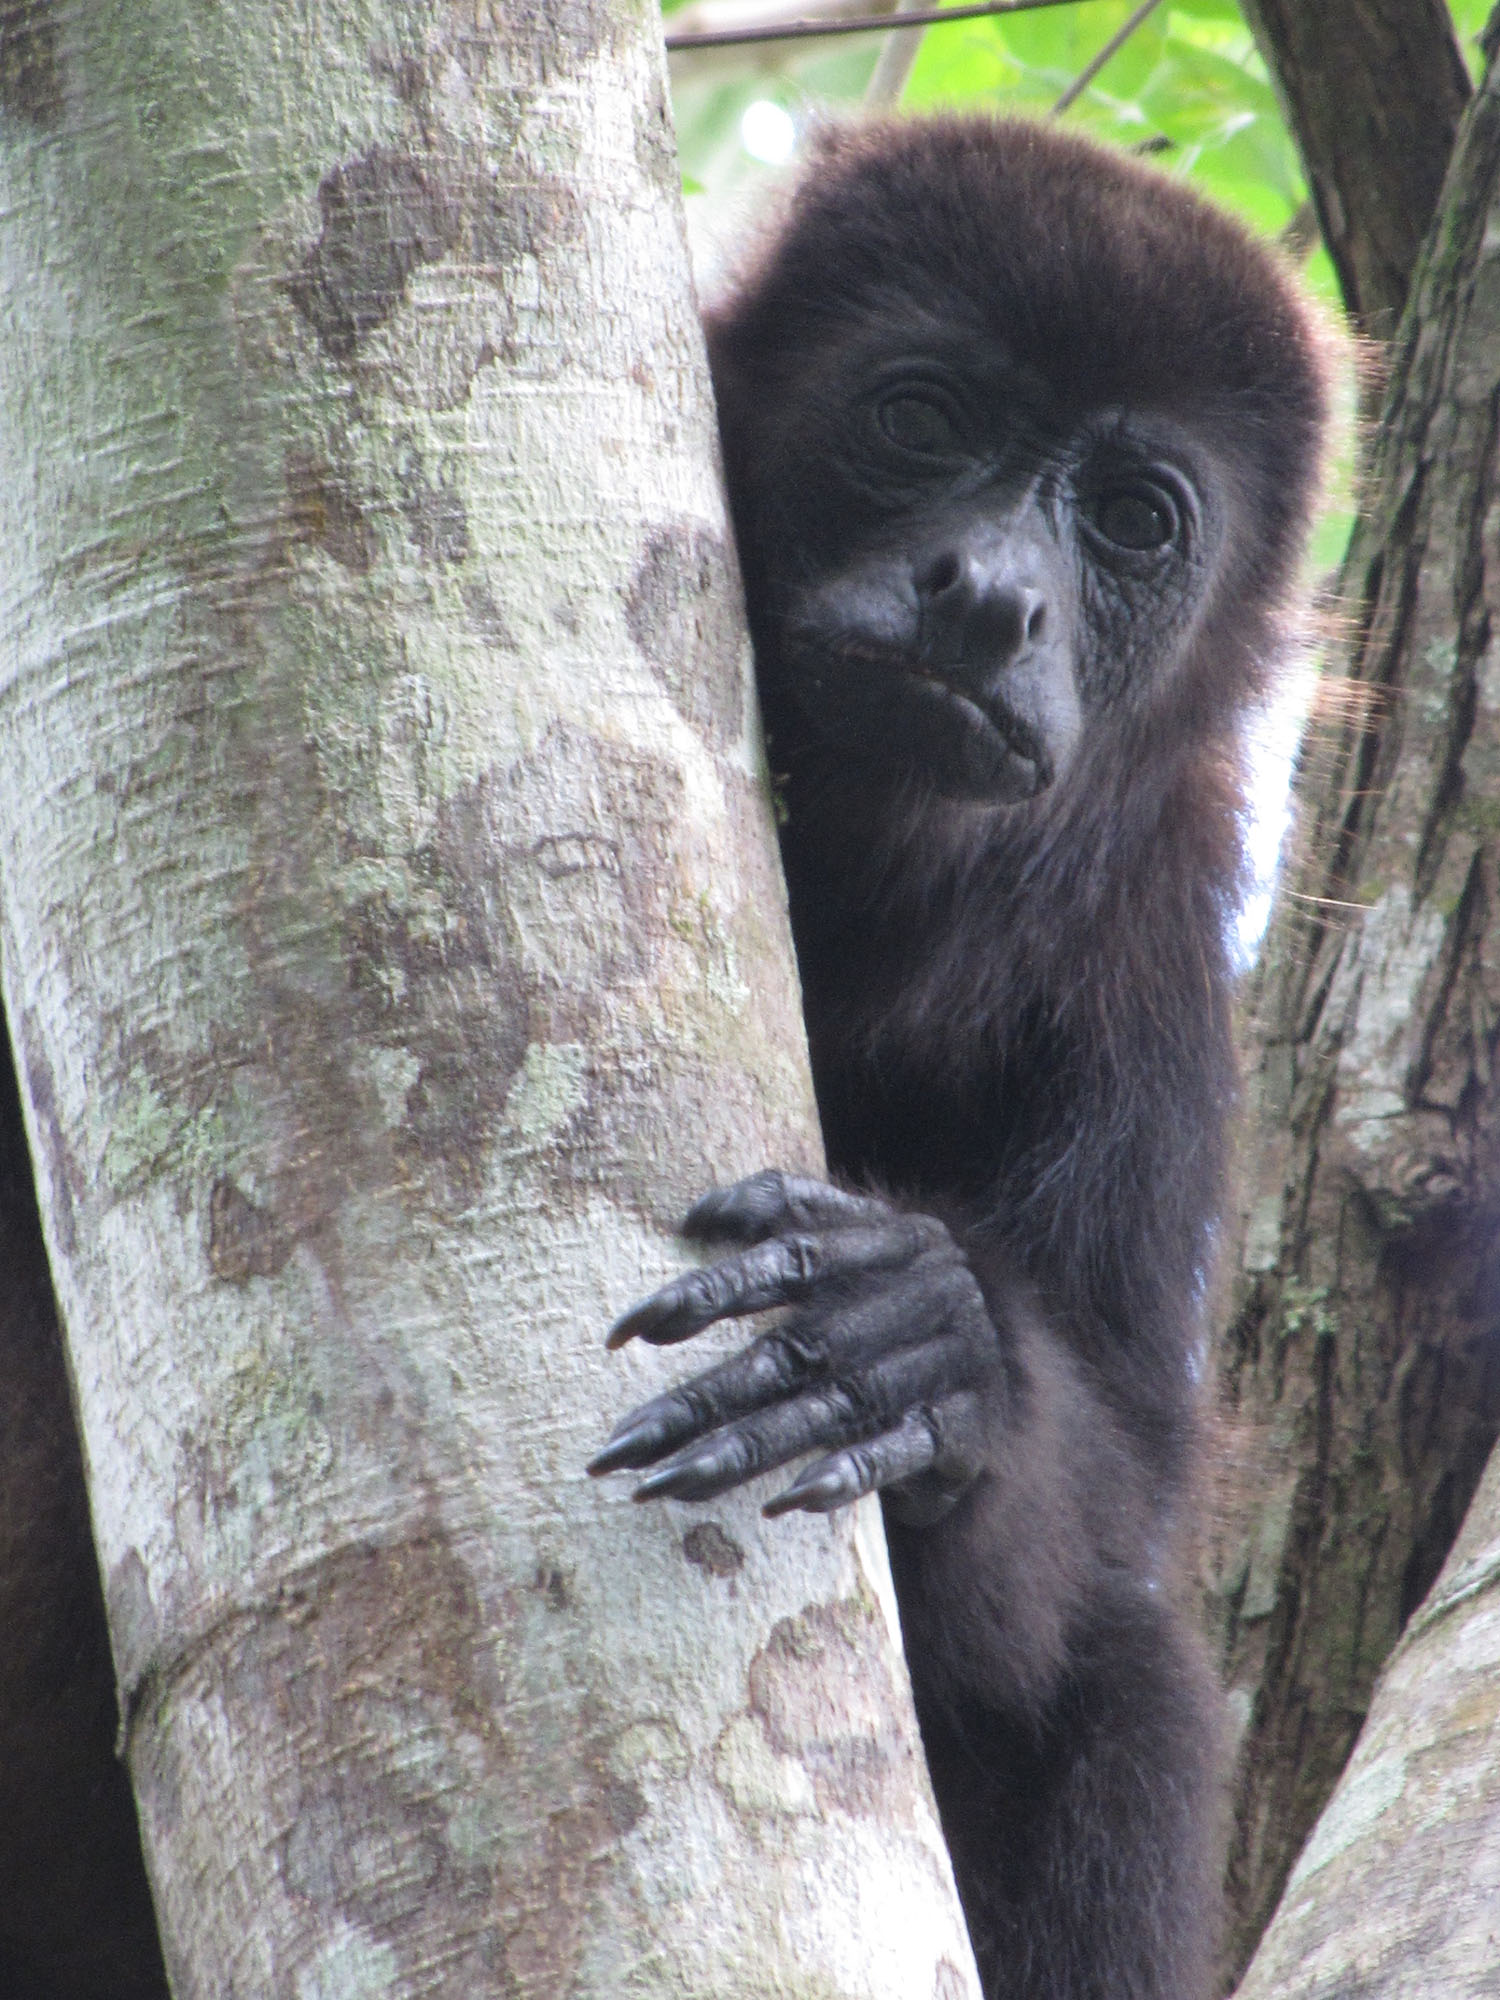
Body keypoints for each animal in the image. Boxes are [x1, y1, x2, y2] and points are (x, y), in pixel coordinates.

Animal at [589, 116, 1335, 1999]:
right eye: (921, 420)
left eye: (1134, 521)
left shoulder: (1147, 945)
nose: (991, 600)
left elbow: (1127, 1467)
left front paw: (927, 1340)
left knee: (1127, 1686)